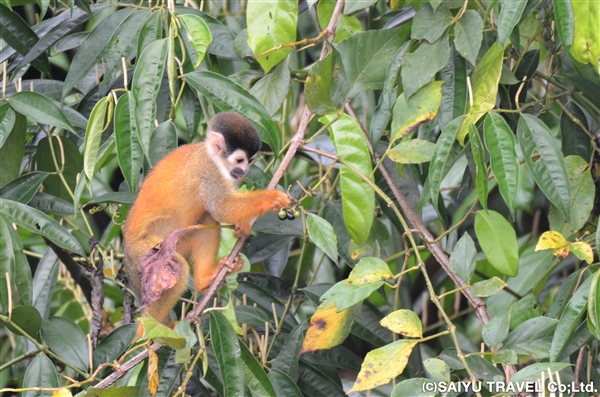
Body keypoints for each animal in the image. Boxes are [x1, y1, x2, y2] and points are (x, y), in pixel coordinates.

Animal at [123, 111, 290, 322]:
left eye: (250, 161)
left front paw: (241, 226)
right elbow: (222, 208)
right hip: (146, 253)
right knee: (175, 268)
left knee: (206, 222)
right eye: (239, 161)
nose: (244, 171)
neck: (213, 157)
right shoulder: (208, 170)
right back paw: (150, 328)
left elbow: (218, 211)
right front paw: (272, 198)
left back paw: (204, 281)